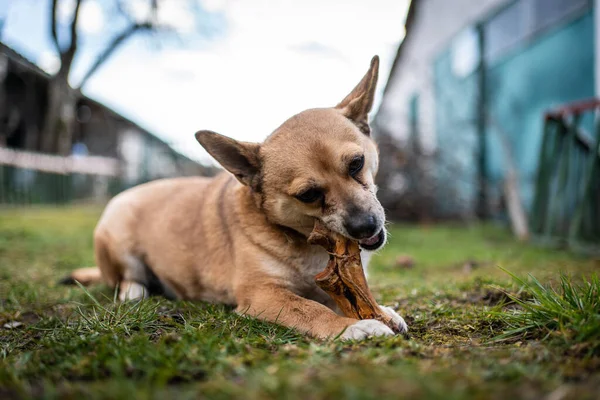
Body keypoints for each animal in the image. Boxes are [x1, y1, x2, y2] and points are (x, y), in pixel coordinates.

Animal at [69, 54, 408, 340]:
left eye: (356, 164)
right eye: (309, 194)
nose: (365, 226)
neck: (306, 241)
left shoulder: (331, 283)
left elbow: (345, 296)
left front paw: (381, 312)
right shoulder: (263, 295)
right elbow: (311, 309)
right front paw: (353, 326)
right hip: (118, 234)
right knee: (124, 279)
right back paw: (134, 291)